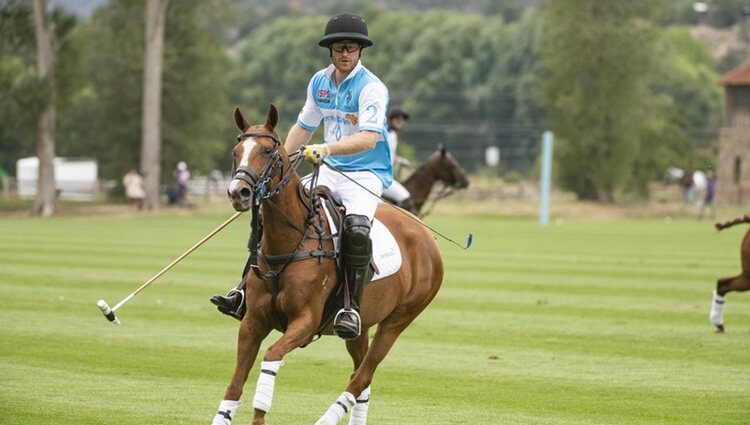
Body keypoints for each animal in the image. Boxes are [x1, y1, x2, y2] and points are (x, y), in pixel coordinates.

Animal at [212, 103, 444, 424]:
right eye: (236, 152)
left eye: (268, 151)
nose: (239, 192)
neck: (288, 243)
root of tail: (427, 235)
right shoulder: (252, 322)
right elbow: (234, 383)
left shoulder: (305, 322)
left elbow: (270, 358)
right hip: (361, 324)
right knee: (362, 377)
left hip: (399, 319)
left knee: (363, 375)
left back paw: (326, 420)